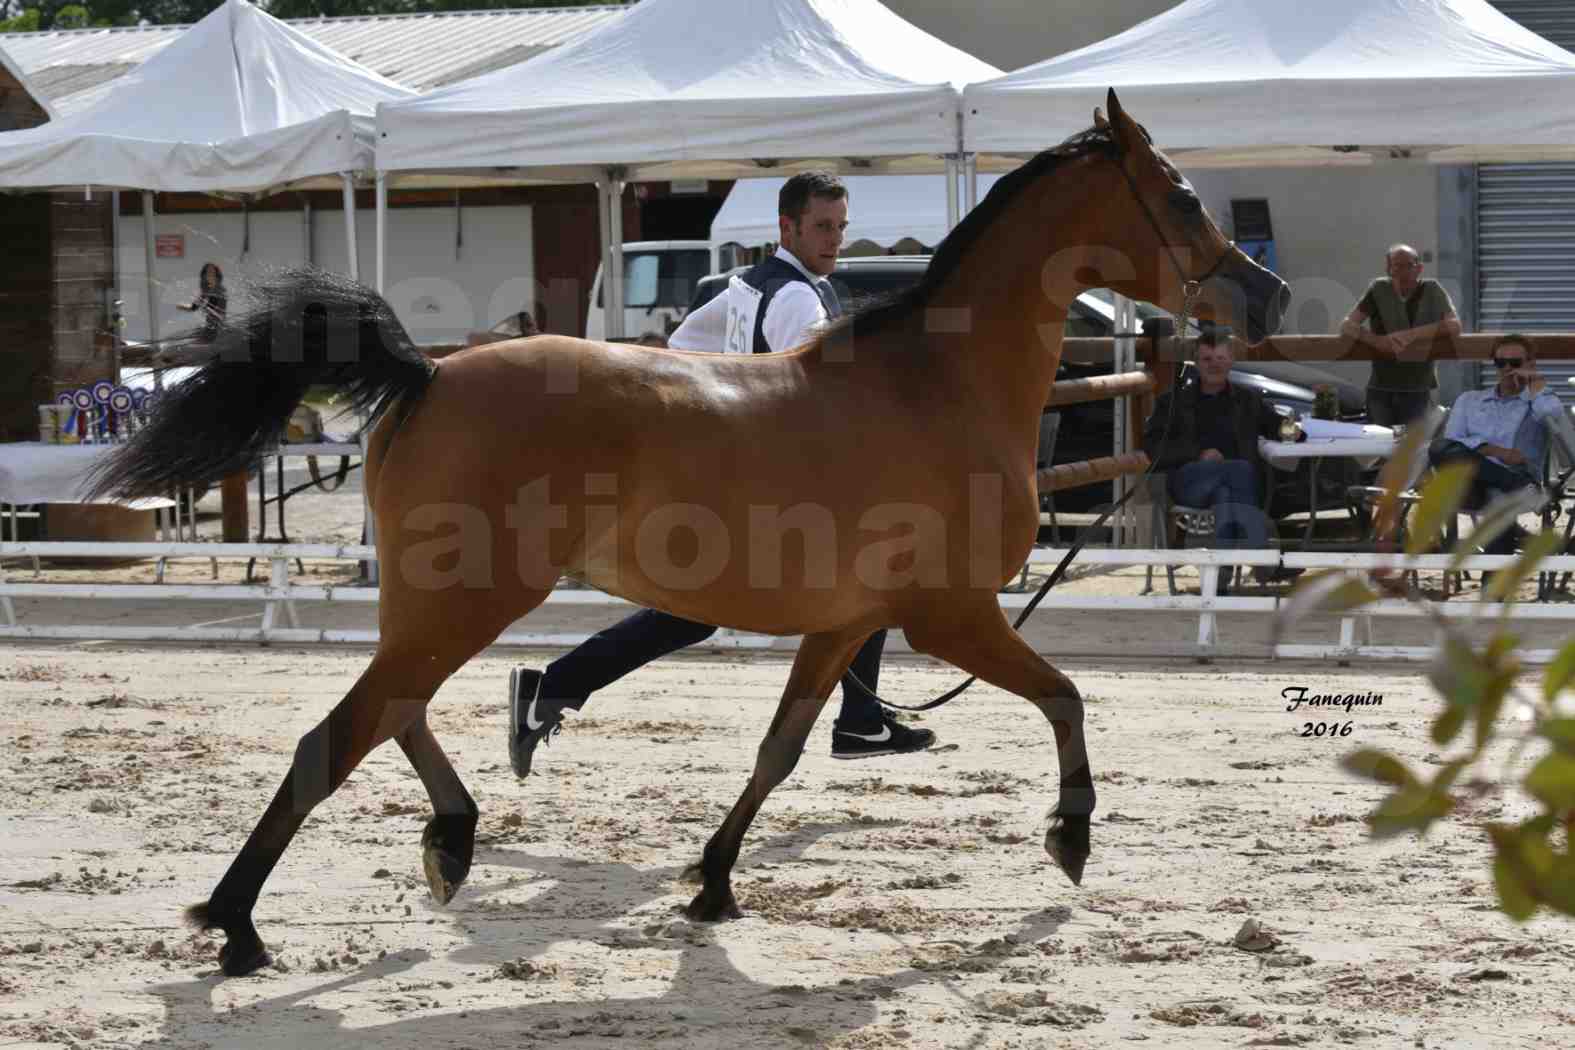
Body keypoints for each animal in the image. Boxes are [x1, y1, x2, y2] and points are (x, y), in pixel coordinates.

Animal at [89, 90, 1291, 976]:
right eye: (1181, 196)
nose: (1267, 298)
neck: (937, 383)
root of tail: (427, 375)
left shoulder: (843, 624)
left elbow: (779, 750)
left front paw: (711, 883)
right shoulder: (949, 618)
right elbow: (1066, 697)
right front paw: (1071, 838)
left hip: (440, 604)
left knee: (395, 711)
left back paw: (452, 839)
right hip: (467, 599)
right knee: (343, 733)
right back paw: (238, 923)